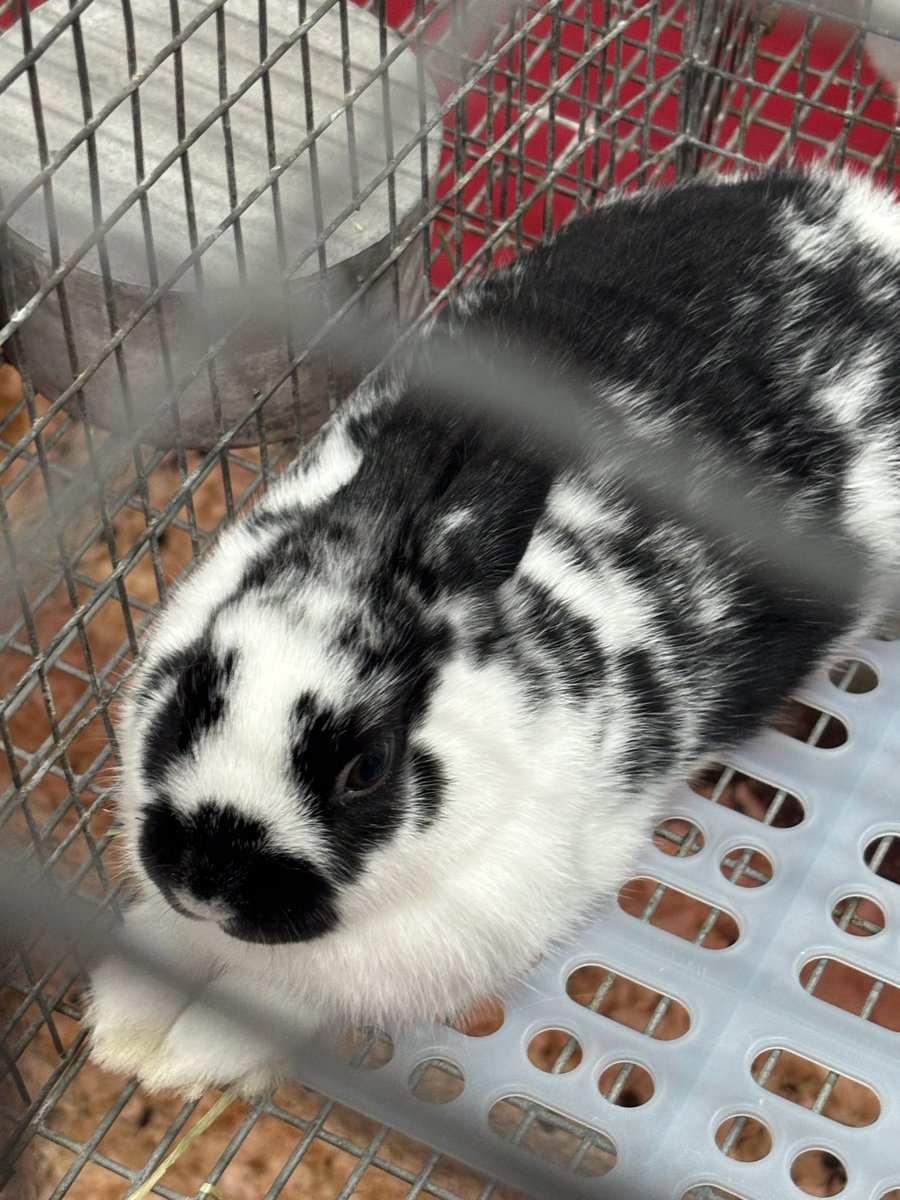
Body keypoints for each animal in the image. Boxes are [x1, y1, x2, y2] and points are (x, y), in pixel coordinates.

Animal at [87, 166, 900, 1097]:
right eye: (193, 689)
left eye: (367, 769)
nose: (206, 883)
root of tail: (869, 217)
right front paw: (122, 1031)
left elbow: (271, 1003)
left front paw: (181, 1058)